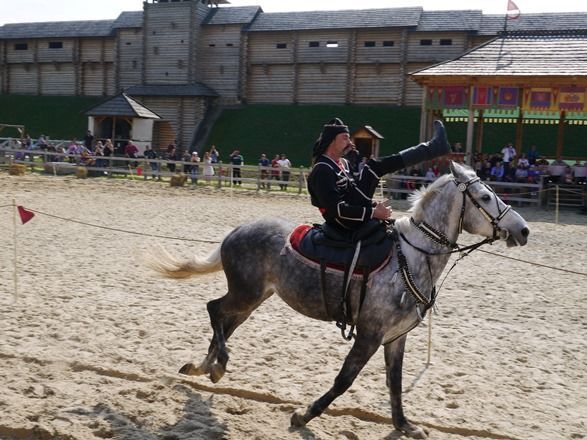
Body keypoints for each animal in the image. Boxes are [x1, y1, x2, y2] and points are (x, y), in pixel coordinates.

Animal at [146, 162, 528, 436]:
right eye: (485, 197)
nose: (523, 230)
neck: (411, 256)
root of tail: (235, 231)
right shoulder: (370, 335)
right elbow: (344, 380)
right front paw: (304, 415)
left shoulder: (396, 338)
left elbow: (395, 383)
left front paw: (404, 425)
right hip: (246, 293)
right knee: (214, 310)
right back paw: (217, 365)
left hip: (253, 298)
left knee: (224, 323)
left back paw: (205, 367)